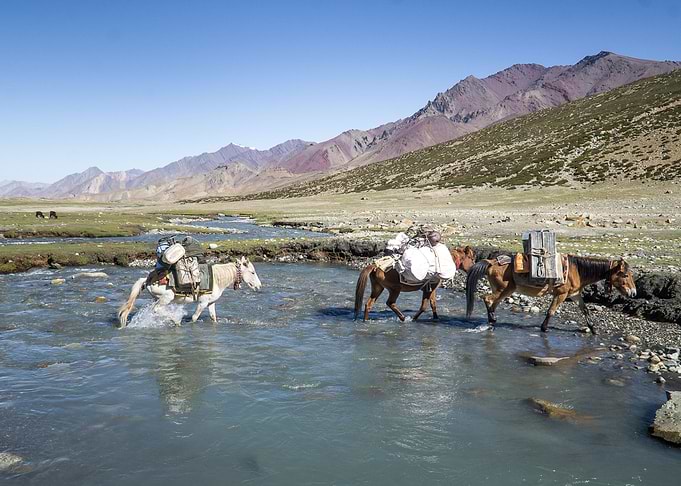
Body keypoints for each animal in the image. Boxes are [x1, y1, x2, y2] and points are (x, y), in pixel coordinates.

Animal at [117, 257, 262, 328]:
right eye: (252, 272)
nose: (259, 286)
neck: (217, 278)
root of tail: (147, 279)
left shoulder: (211, 303)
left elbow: (213, 317)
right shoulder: (202, 303)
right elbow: (194, 317)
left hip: (157, 298)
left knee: (155, 310)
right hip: (166, 297)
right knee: (157, 309)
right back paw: (176, 321)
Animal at [465, 255, 637, 334]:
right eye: (626, 275)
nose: (634, 292)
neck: (577, 270)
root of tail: (491, 262)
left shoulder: (575, 295)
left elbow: (586, 311)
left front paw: (593, 330)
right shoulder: (561, 294)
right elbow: (551, 311)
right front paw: (544, 328)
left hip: (503, 290)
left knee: (492, 303)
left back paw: (492, 320)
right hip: (504, 289)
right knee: (487, 299)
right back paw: (491, 320)